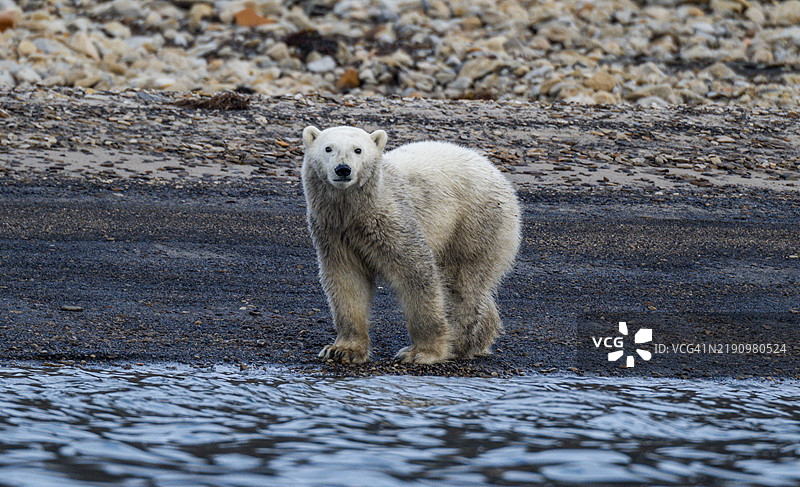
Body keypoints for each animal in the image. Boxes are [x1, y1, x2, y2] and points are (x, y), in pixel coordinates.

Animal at [301, 125, 521, 364]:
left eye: (358, 149)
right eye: (328, 148)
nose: (343, 169)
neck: (357, 211)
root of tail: (497, 173)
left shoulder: (393, 221)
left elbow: (416, 273)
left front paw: (422, 352)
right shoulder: (334, 233)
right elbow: (346, 280)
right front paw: (342, 350)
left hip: (474, 222)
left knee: (462, 284)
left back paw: (458, 343)